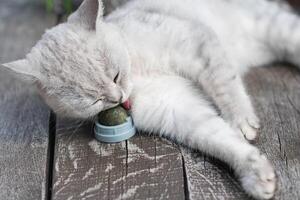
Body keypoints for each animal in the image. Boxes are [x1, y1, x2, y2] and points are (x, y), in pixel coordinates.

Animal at [2, 0, 300, 198]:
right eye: (93, 100)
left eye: (115, 75)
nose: (118, 97)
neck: (137, 71)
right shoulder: (178, 110)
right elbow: (221, 140)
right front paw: (257, 176)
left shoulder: (196, 44)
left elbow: (225, 86)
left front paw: (241, 120)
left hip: (275, 28)